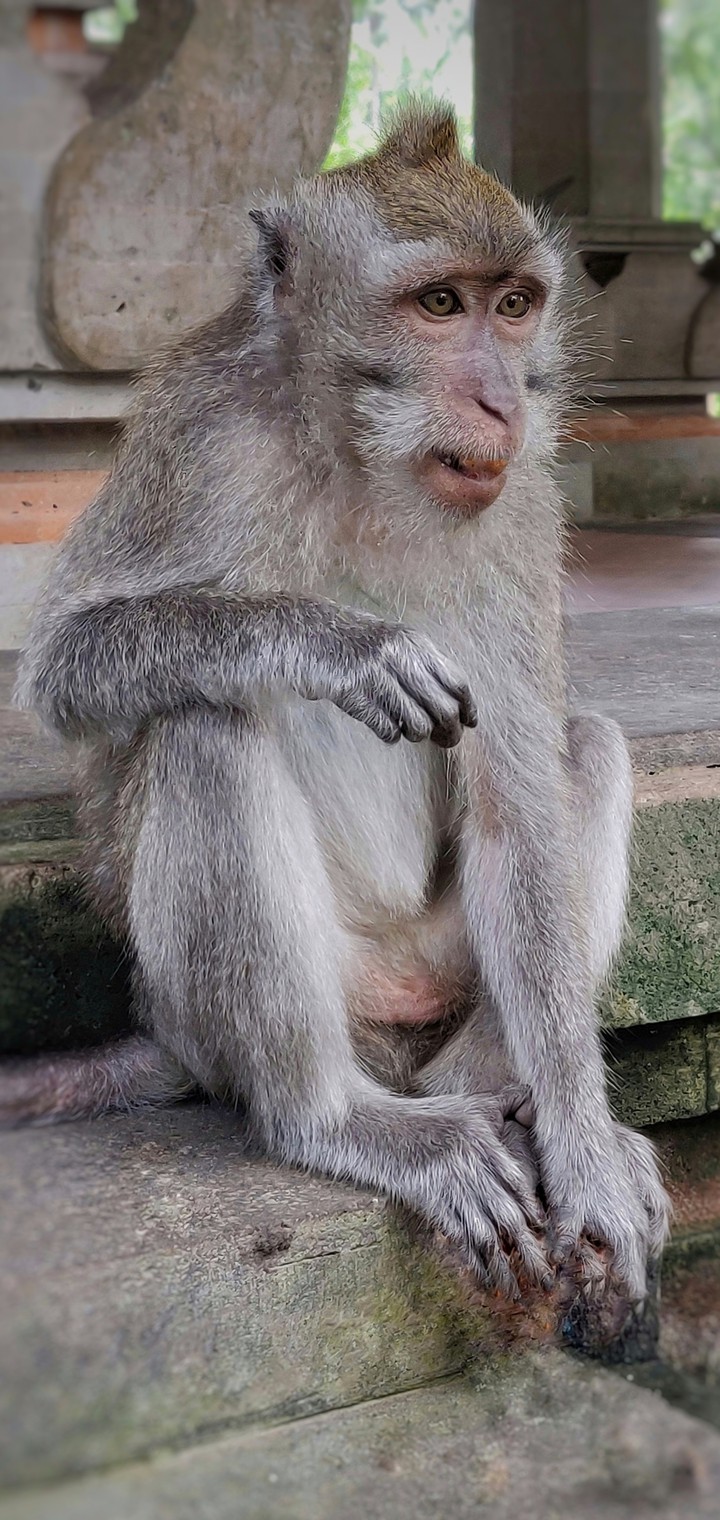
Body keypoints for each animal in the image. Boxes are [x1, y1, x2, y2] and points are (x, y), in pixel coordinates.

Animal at [4, 102, 669, 1303]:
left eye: (514, 305)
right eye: (439, 305)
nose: (503, 398)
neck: (365, 463)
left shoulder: (519, 503)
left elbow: (518, 794)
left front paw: (585, 1151)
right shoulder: (197, 431)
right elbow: (67, 660)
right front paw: (340, 645)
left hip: (441, 973)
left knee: (583, 746)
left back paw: (512, 1103)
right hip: (221, 1007)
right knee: (205, 730)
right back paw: (338, 1118)